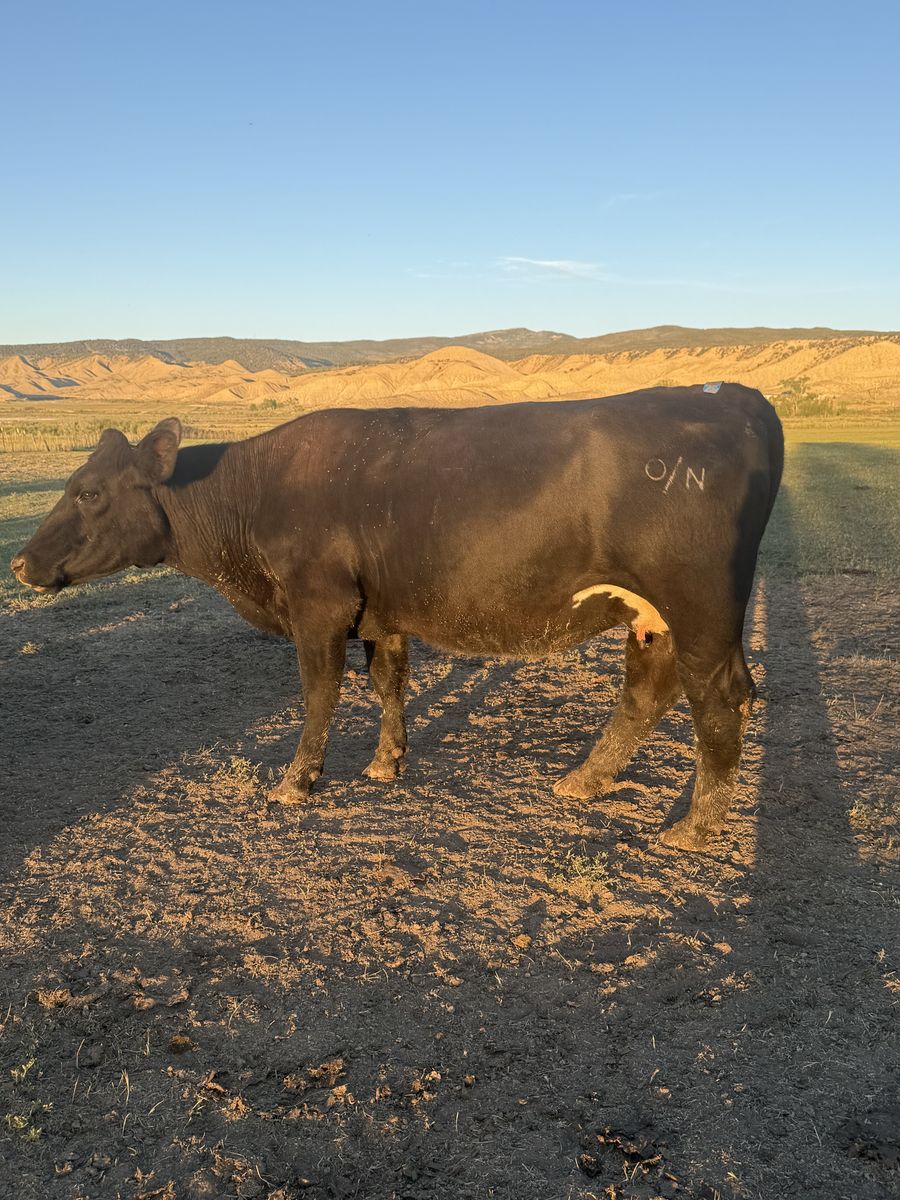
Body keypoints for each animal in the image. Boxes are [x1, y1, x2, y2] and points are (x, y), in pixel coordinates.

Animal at [11, 383, 783, 850]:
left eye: (88, 493)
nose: (18, 564)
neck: (250, 495)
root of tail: (732, 395)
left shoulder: (318, 607)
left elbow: (319, 694)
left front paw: (297, 782)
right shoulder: (380, 613)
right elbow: (390, 682)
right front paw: (387, 762)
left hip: (701, 609)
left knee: (719, 700)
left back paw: (693, 828)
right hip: (653, 614)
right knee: (648, 689)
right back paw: (585, 780)